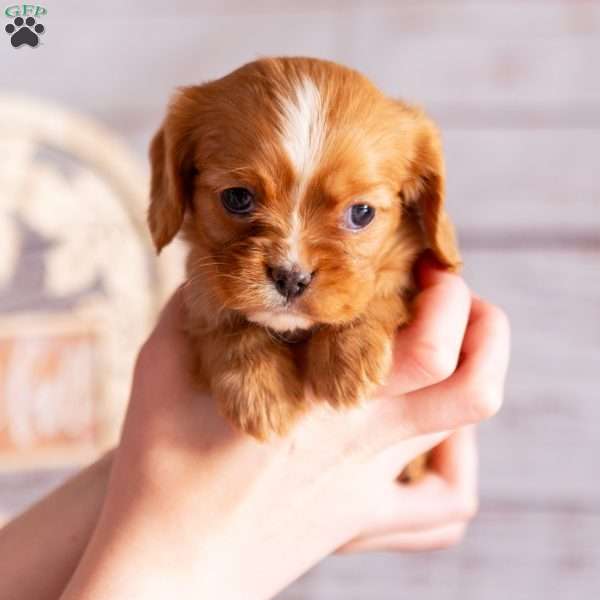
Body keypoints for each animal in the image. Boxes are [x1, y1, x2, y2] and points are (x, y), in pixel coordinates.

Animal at [148, 56, 462, 448]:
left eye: (362, 213)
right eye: (237, 198)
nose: (290, 278)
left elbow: (379, 291)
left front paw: (348, 357)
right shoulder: (202, 282)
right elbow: (222, 319)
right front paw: (259, 392)